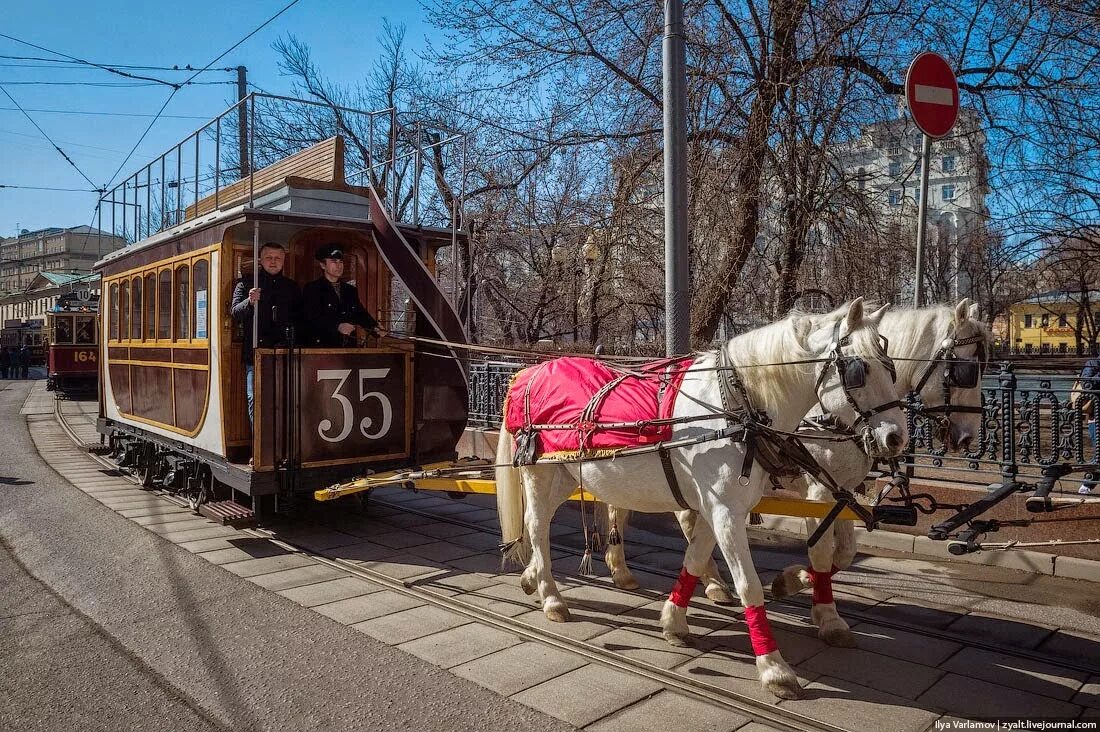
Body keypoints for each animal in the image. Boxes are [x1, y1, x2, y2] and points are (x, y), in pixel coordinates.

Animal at [495, 299, 906, 695]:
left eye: (891, 368)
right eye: (859, 370)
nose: (896, 438)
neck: (737, 405)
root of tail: (528, 374)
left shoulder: (719, 509)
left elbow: (693, 558)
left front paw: (674, 622)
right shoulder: (728, 510)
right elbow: (749, 584)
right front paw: (774, 667)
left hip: (565, 476)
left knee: (546, 526)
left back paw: (535, 577)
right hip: (540, 474)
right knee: (537, 528)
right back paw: (551, 596)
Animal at [607, 297, 994, 647]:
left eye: (891, 369)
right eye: (964, 371)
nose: (968, 436)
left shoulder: (844, 489)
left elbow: (844, 552)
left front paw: (793, 582)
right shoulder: (817, 490)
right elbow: (821, 552)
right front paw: (825, 614)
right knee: (633, 510)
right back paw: (642, 573)